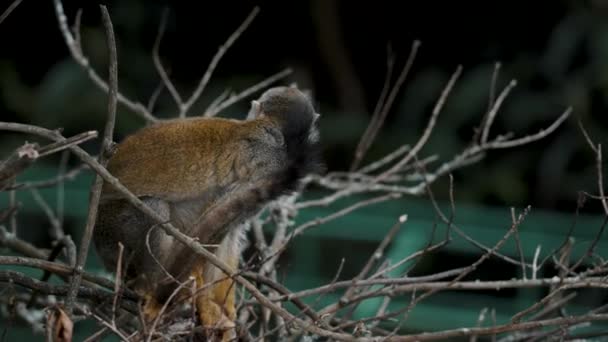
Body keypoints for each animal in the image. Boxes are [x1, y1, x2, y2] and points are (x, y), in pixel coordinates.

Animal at [92, 85, 324, 340]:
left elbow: (227, 227)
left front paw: (224, 308)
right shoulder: (266, 166)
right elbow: (210, 223)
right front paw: (206, 303)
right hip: (111, 233)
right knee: (154, 208)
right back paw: (155, 290)